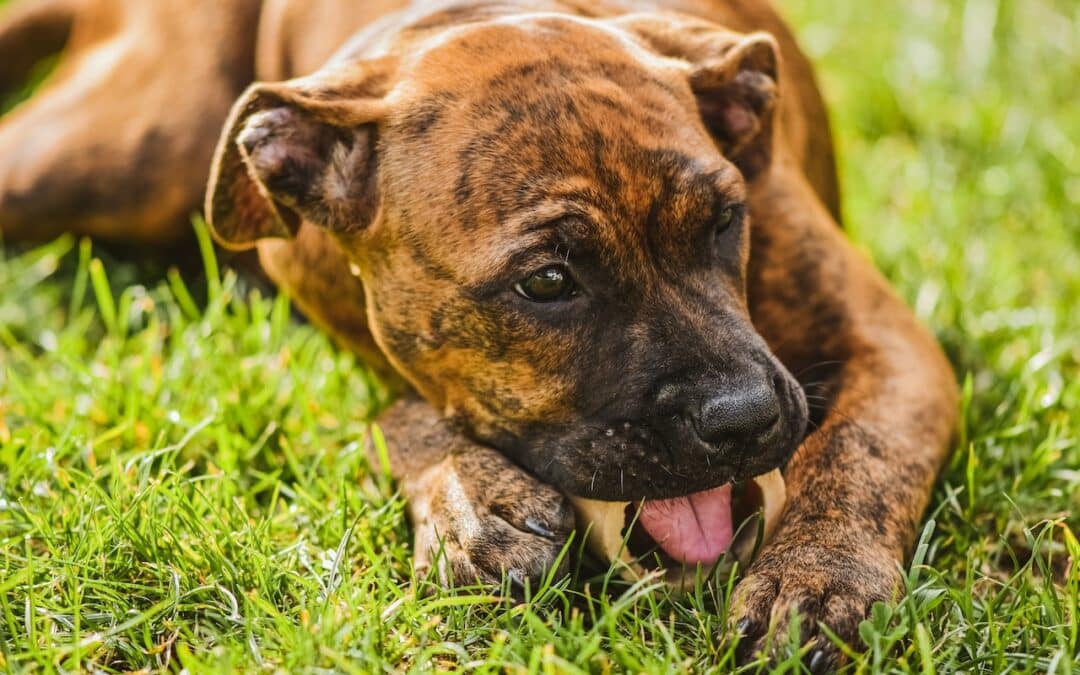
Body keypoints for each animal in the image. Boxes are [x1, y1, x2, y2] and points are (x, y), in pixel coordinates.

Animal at [4, 0, 959, 665]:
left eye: (726, 221)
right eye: (547, 283)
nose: (745, 417)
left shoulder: (888, 345)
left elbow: (860, 452)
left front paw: (819, 578)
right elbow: (404, 414)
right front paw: (472, 502)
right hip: (126, 146)